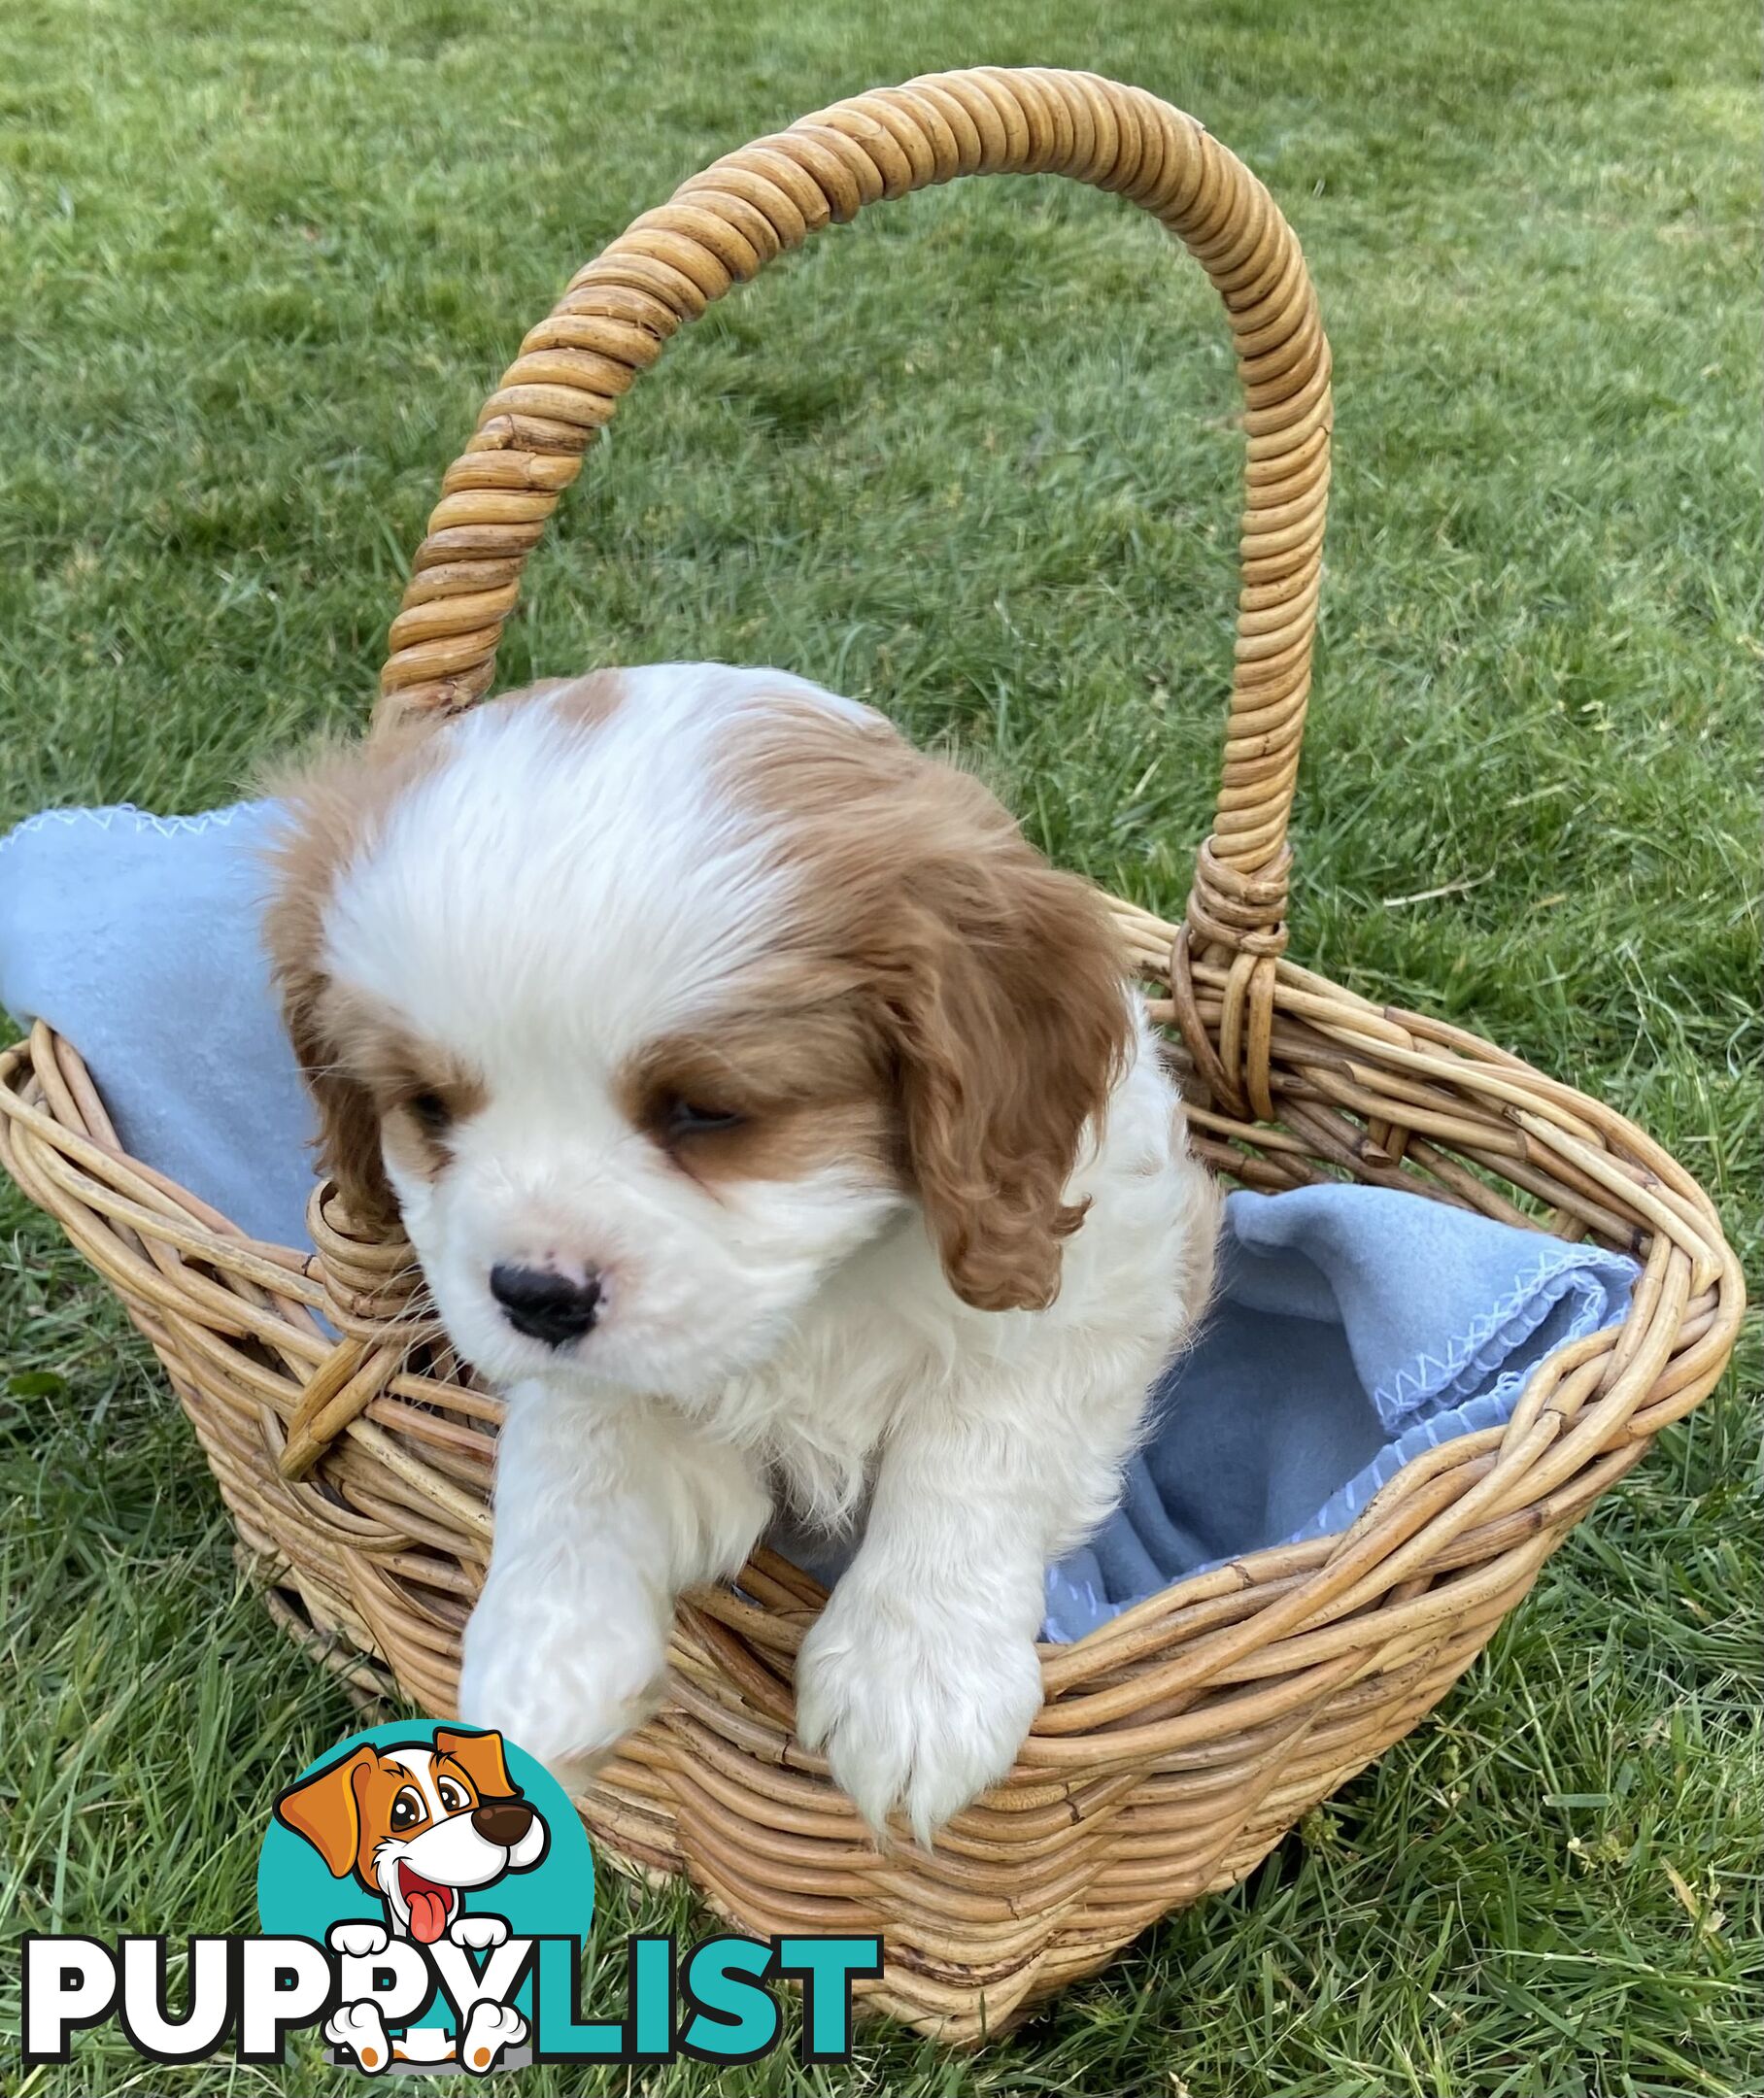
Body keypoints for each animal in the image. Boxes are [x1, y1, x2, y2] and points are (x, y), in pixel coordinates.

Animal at [268, 666, 1216, 1838]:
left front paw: (914, 1675)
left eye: (706, 1110)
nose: (534, 1295)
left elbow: (978, 1444)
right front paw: (547, 1646)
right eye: (428, 1108)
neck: (818, 1299)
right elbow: (578, 1433)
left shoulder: (1097, 1288)